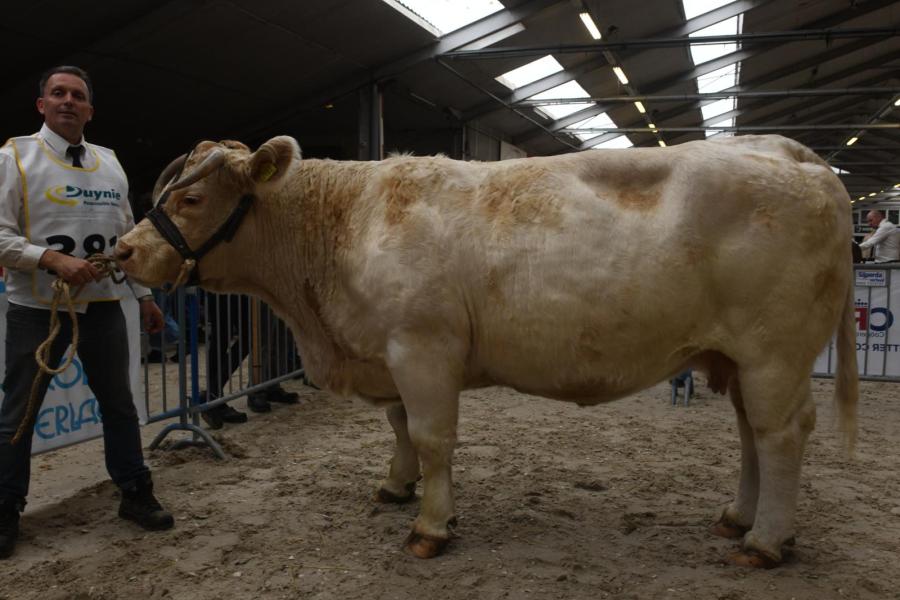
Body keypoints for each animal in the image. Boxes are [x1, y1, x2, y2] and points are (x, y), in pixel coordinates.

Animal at [116, 134, 858, 568]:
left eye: (191, 197)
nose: (121, 251)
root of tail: (791, 152)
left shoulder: (421, 346)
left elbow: (432, 436)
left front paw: (431, 525)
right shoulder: (390, 354)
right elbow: (398, 426)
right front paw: (396, 484)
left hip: (774, 352)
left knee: (780, 433)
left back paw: (766, 541)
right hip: (742, 359)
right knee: (751, 434)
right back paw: (739, 518)